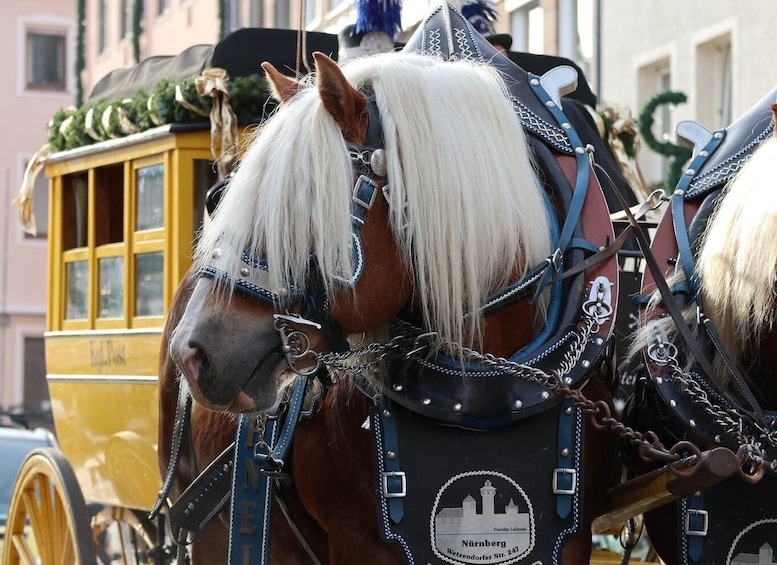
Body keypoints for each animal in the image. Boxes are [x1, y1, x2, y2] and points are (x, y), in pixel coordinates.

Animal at [158, 7, 632, 560]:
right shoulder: (361, 542)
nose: (192, 351)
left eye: (301, 200)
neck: (485, 398)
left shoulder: (571, 538)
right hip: (213, 533)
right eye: (219, 199)